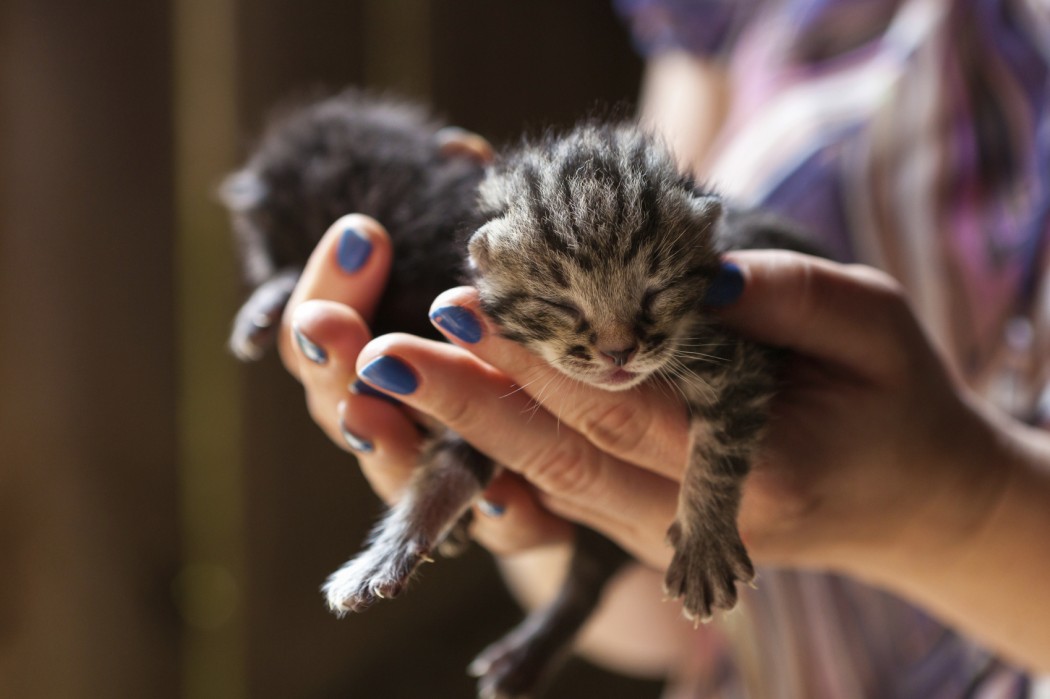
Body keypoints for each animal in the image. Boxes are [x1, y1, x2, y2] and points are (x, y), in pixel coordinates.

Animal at [221, 92, 810, 696]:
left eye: (656, 292)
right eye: (562, 305)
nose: (618, 353)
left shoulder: (731, 359)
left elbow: (719, 450)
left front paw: (705, 543)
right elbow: (444, 473)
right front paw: (390, 550)